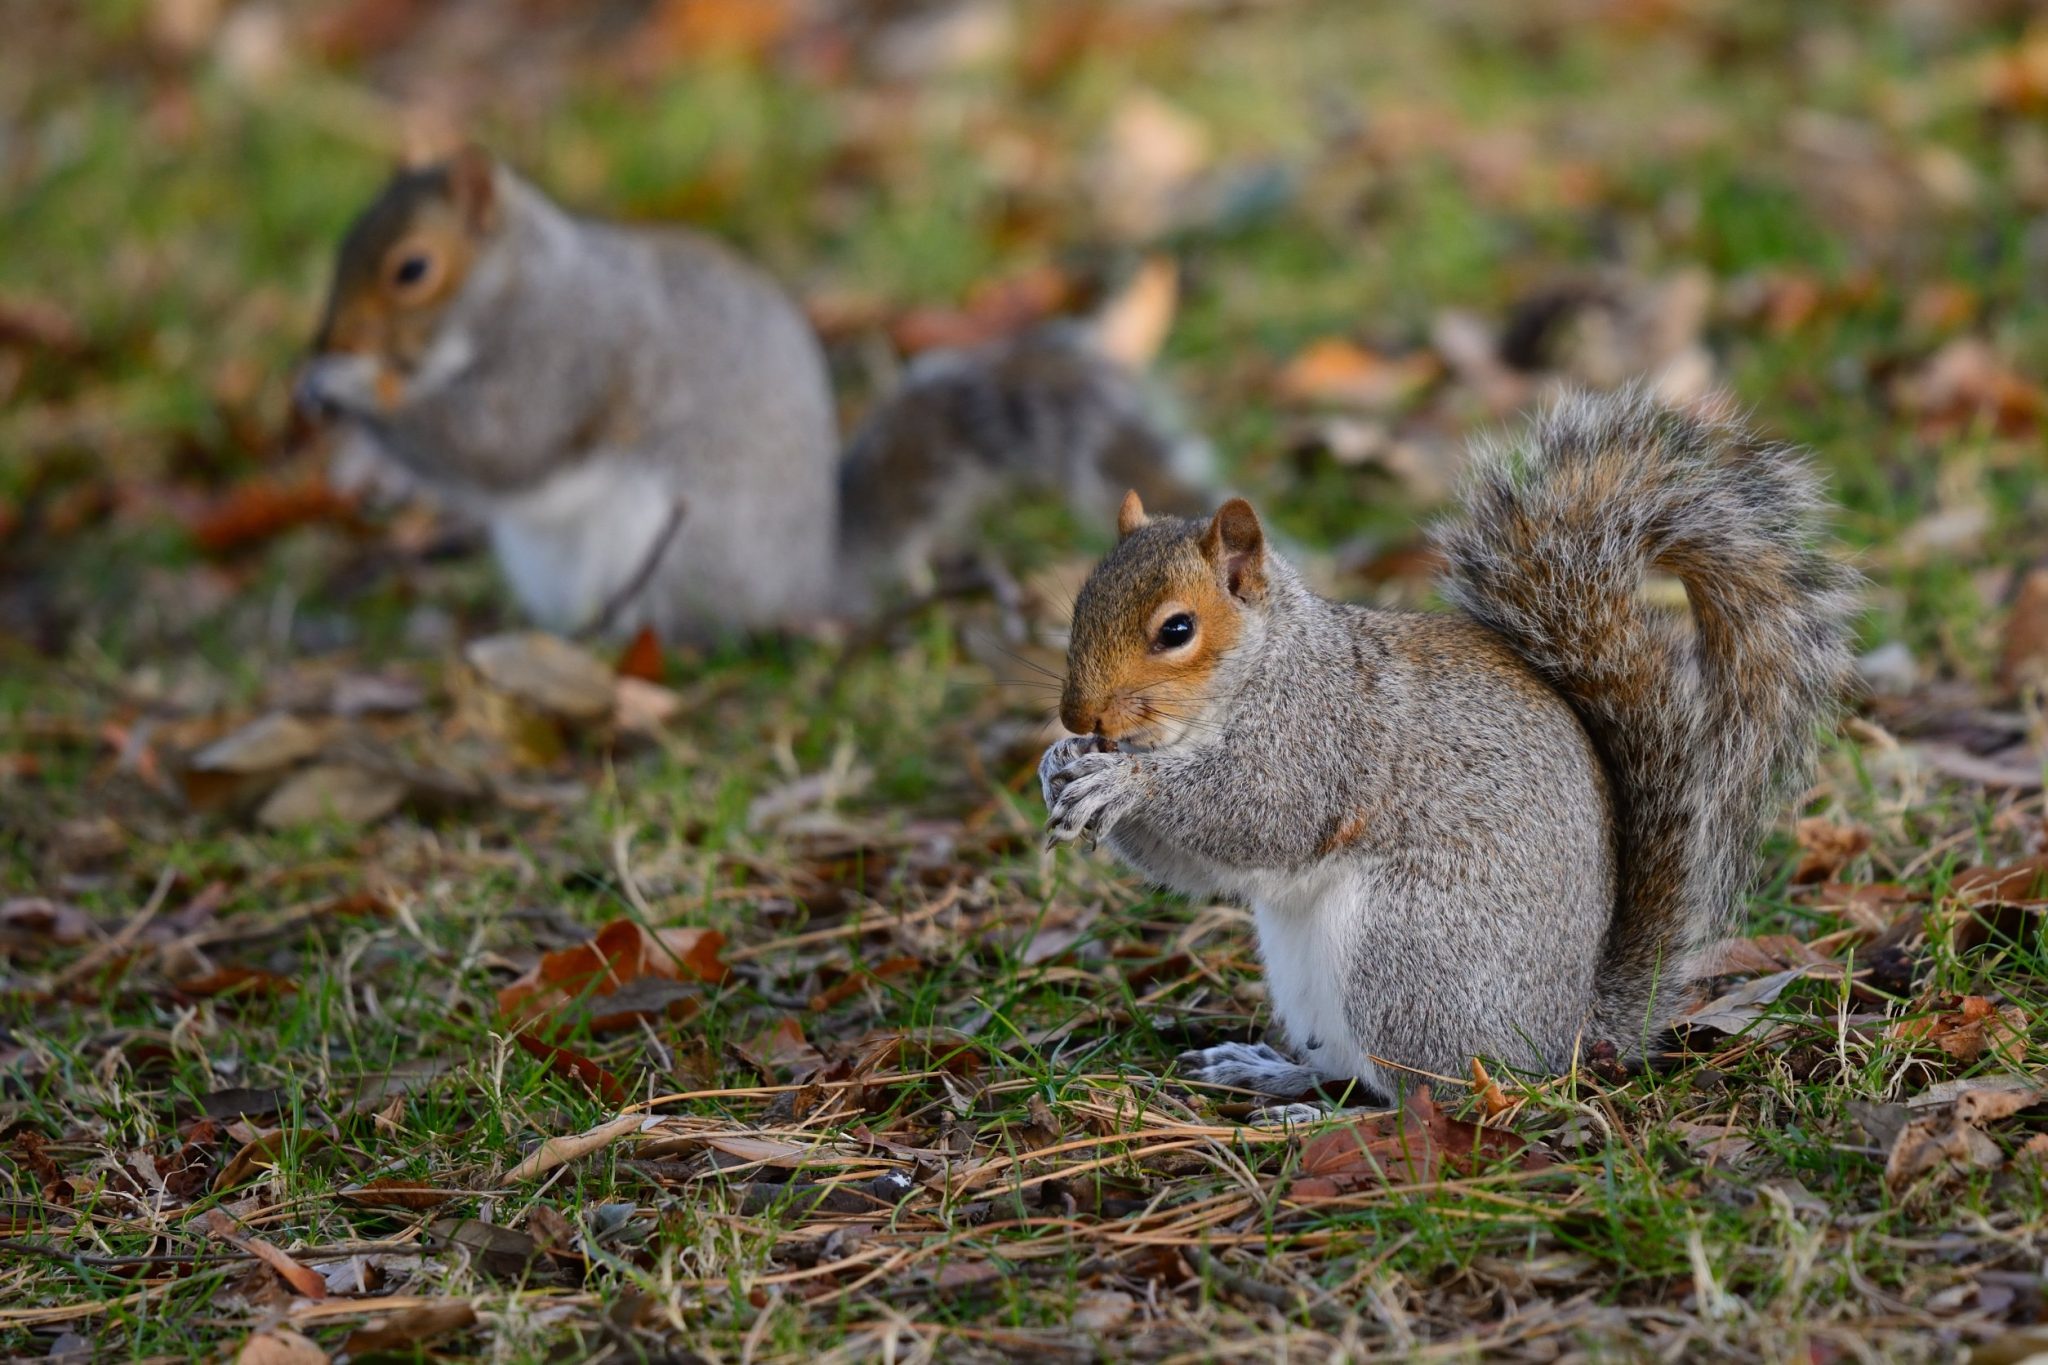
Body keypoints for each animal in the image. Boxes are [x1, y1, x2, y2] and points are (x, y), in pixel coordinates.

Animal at [296, 146, 1210, 640]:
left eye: (412, 269)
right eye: (337, 247)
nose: (328, 341)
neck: (521, 287)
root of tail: (806, 578)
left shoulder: (570, 352)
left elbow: (502, 444)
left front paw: (350, 394)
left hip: (672, 549)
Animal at [1039, 389, 1856, 1104]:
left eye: (1176, 630)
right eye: (1079, 605)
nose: (1077, 713)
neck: (1265, 664)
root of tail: (1564, 1036)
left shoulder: (1321, 735)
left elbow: (1263, 814)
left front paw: (1126, 782)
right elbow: (1197, 864)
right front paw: (1059, 765)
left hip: (1407, 960)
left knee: (1433, 1096)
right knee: (1346, 1066)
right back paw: (1270, 1072)